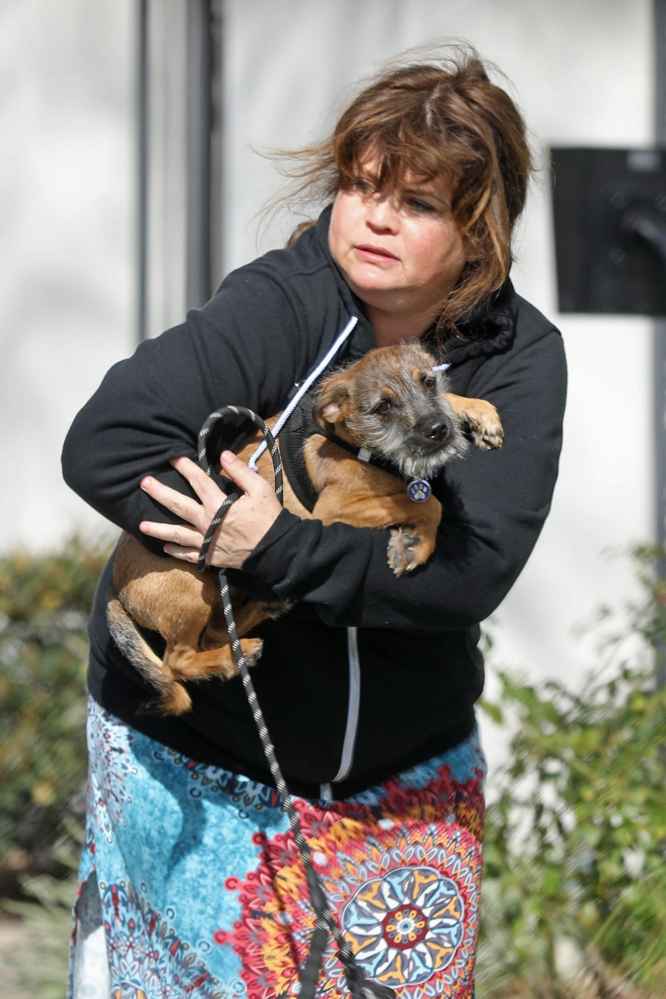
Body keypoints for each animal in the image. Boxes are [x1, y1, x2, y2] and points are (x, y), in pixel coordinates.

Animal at [107, 342, 503, 715]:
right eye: (383, 407)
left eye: (429, 381)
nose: (439, 430)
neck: (351, 442)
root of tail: (115, 586)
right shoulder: (332, 511)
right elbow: (426, 503)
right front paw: (417, 545)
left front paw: (478, 411)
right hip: (194, 586)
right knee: (178, 660)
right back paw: (235, 654)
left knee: (216, 633)